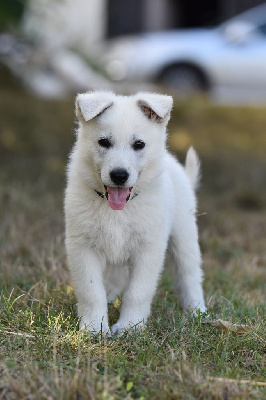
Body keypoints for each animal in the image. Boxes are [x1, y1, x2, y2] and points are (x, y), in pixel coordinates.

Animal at [64, 91, 206, 334]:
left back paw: (197, 311)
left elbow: (137, 292)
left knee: (189, 275)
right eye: (103, 142)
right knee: (115, 278)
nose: (119, 175)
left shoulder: (148, 249)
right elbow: (91, 290)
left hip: (184, 237)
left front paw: (130, 326)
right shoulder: (82, 247)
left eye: (139, 144)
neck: (118, 210)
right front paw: (94, 327)